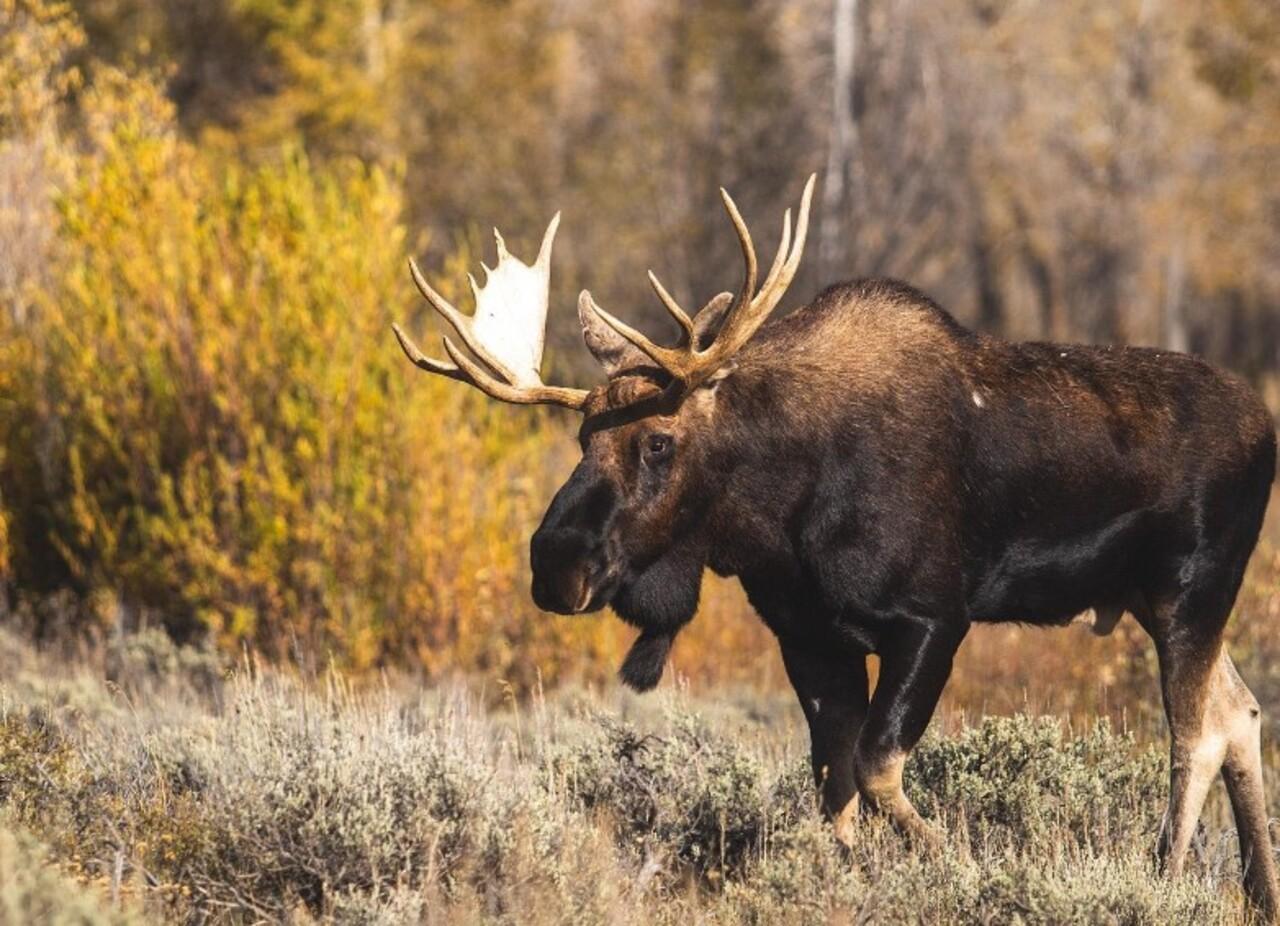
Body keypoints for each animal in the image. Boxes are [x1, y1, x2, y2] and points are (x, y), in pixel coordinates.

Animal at [392, 175, 1279, 917]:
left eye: (658, 441)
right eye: (583, 436)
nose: (555, 562)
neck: (777, 515)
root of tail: (1268, 427)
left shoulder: (932, 619)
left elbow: (880, 766)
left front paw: (957, 866)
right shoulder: (810, 635)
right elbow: (836, 781)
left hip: (1191, 589)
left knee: (1193, 733)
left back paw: (1164, 877)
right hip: (1150, 599)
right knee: (1239, 710)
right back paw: (1258, 892)